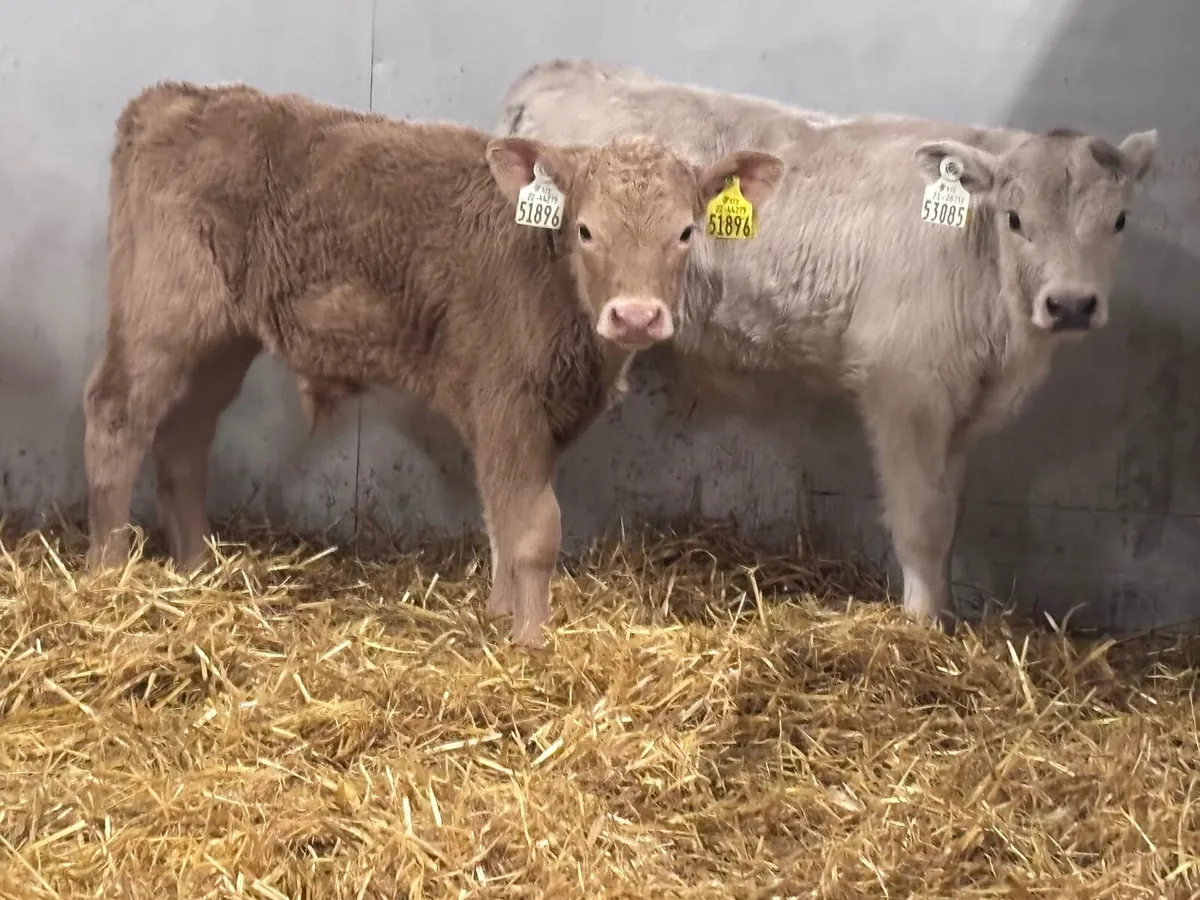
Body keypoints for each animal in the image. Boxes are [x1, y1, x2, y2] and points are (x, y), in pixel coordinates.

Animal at [82, 80, 786, 646]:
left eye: (686, 232)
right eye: (586, 230)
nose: (636, 316)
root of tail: (173, 98)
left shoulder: (527, 415)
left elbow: (502, 517)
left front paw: (502, 617)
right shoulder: (505, 399)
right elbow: (534, 530)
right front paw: (532, 644)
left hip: (223, 340)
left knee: (182, 437)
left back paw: (194, 568)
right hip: (161, 312)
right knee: (116, 416)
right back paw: (109, 574)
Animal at [496, 58, 1159, 628]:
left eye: (1120, 220)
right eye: (1016, 220)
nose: (1070, 304)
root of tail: (554, 74)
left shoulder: (960, 408)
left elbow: (951, 513)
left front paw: (945, 617)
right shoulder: (905, 390)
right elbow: (923, 521)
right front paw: (921, 628)